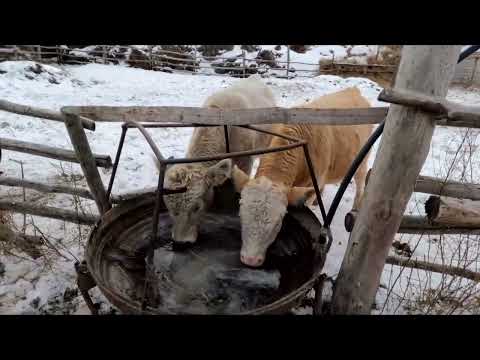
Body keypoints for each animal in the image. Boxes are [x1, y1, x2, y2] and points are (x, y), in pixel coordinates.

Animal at [231, 87, 374, 268]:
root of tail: (353, 90)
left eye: (278, 223)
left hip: (362, 161)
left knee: (360, 184)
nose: (250, 260)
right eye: (240, 214)